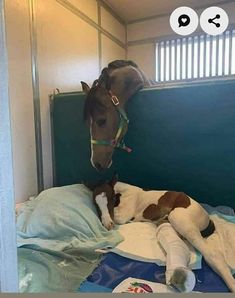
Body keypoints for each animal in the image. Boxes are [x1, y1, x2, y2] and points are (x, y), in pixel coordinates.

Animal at [86, 177, 235, 294]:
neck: (121, 192)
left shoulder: (124, 214)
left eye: (111, 199)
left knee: (212, 255)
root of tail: (207, 218)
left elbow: (119, 217)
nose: (107, 225)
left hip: (179, 219)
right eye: (95, 203)